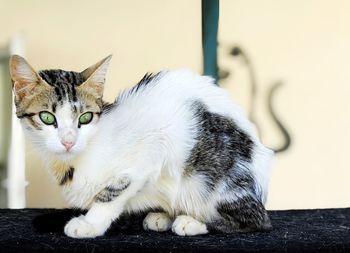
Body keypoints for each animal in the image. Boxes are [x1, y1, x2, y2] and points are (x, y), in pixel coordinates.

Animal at [8, 54, 274, 238]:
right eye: (47, 117)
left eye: (85, 117)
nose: (68, 140)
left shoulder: (153, 149)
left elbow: (110, 194)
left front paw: (90, 224)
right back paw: (163, 216)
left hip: (211, 181)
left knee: (257, 221)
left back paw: (191, 221)